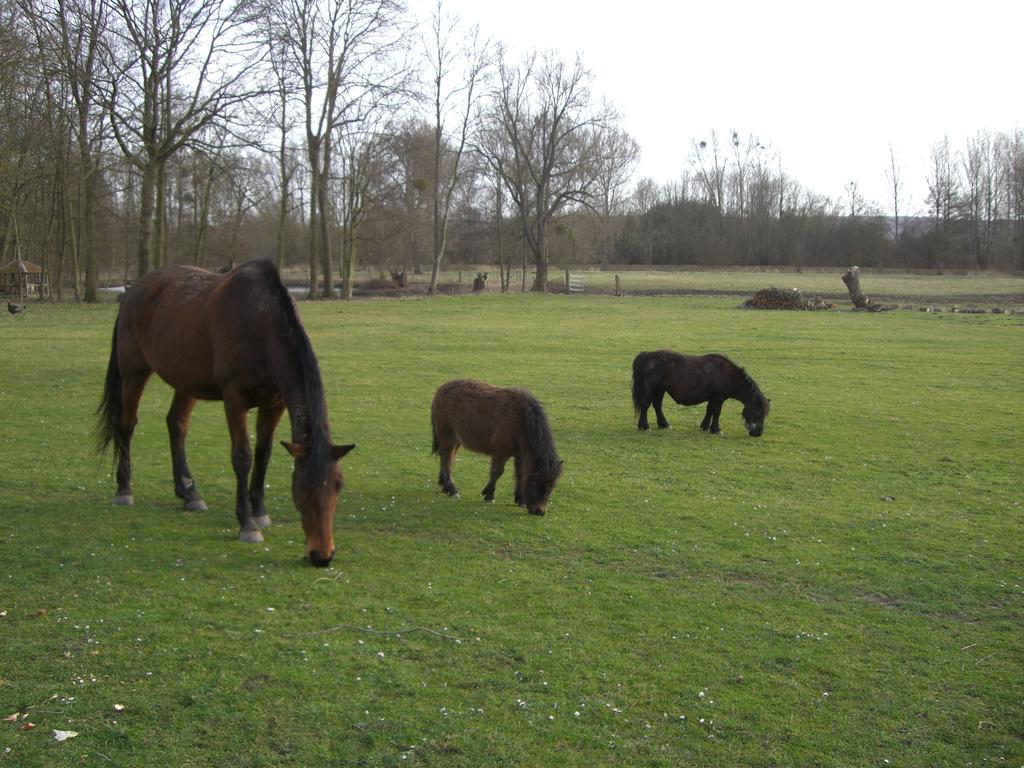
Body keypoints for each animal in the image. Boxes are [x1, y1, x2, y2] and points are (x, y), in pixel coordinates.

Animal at [96, 259, 352, 565]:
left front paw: (260, 511)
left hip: (186, 379)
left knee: (176, 424)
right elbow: (243, 457)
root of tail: (134, 290)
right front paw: (247, 524)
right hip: (134, 373)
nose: (322, 555)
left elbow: (264, 455)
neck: (261, 325)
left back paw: (189, 492)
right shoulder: (234, 398)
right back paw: (124, 489)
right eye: (304, 487)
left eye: (338, 485)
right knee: (126, 424)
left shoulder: (274, 403)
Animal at [430, 380, 565, 518]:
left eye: (552, 486)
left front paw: (520, 499)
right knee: (447, 459)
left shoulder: (520, 455)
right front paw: (489, 495)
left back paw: (444, 484)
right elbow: (497, 472)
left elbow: (520, 474)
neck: (519, 419)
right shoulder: (500, 453)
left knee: (448, 458)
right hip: (448, 437)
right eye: (535, 482)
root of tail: (441, 389)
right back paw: (451, 489)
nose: (539, 511)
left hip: (456, 440)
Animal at [630, 350, 770, 436]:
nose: (757, 434)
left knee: (657, 405)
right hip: (653, 389)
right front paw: (716, 429)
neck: (728, 375)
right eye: (758, 414)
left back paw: (664, 425)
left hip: (660, 390)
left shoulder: (713, 398)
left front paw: (705, 426)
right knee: (645, 405)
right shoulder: (718, 398)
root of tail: (649, 355)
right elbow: (716, 412)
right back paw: (645, 426)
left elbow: (709, 411)